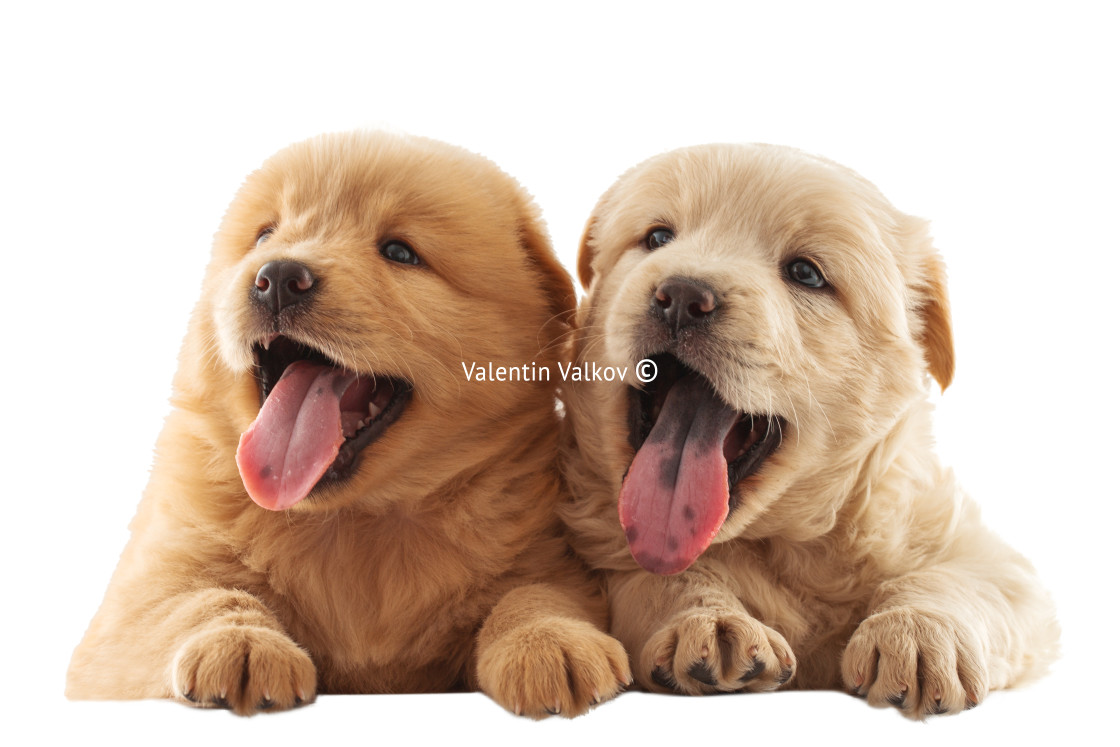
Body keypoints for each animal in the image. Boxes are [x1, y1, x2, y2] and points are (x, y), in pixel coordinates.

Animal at [65, 131, 631, 716]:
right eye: (265, 235)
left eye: (400, 252)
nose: (277, 277)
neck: (351, 523)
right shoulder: (140, 592)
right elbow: (196, 599)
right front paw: (240, 644)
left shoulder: (547, 557)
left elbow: (535, 593)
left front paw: (552, 642)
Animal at [560, 144, 1057, 716]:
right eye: (658, 238)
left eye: (806, 273)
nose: (682, 295)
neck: (777, 545)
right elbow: (662, 576)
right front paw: (710, 621)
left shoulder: (989, 557)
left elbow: (959, 579)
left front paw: (919, 634)